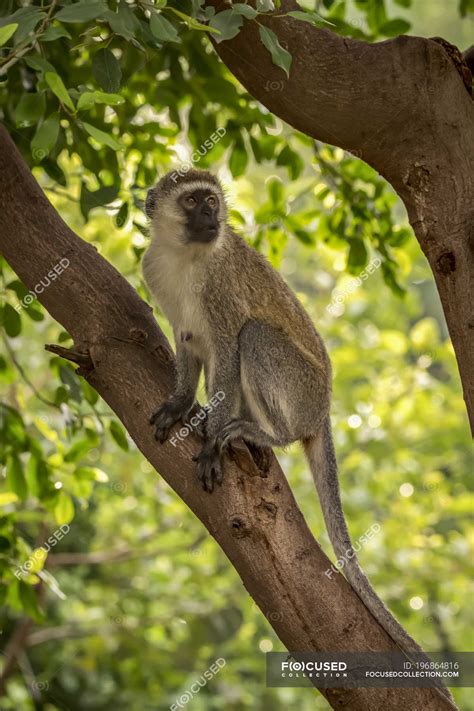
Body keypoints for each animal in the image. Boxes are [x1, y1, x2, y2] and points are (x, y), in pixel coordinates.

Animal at [142, 170, 426, 660]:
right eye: (193, 201)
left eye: (212, 201)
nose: (211, 217)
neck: (185, 255)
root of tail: (324, 406)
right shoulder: (154, 270)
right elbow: (187, 339)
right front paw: (179, 403)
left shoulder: (220, 289)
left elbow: (229, 348)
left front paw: (211, 443)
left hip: (301, 390)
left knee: (254, 335)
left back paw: (268, 436)